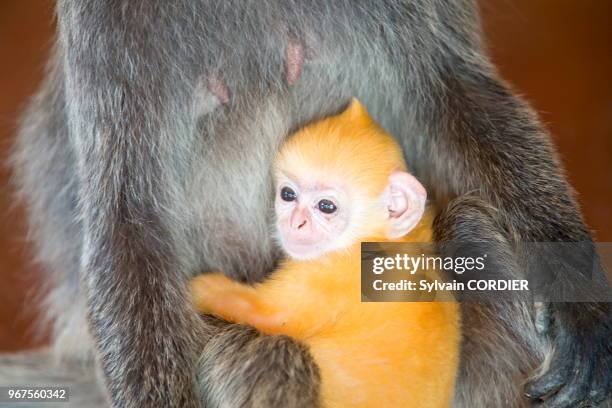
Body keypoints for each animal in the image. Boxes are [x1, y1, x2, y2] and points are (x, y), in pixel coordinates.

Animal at [191, 99, 460, 408]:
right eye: (288, 195)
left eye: (326, 207)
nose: (296, 222)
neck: (376, 237)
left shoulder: (332, 274)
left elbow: (269, 315)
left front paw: (196, 289)